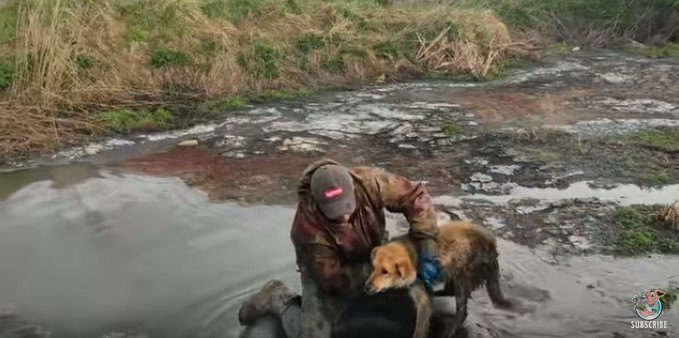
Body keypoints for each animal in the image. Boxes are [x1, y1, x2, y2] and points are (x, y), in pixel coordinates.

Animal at [364, 220, 512, 336]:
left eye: (385, 272)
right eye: (374, 268)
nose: (366, 287)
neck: (413, 254)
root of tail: (491, 243)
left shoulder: (423, 301)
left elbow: (420, 326)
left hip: (461, 273)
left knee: (462, 310)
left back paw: (451, 330)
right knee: (449, 291)